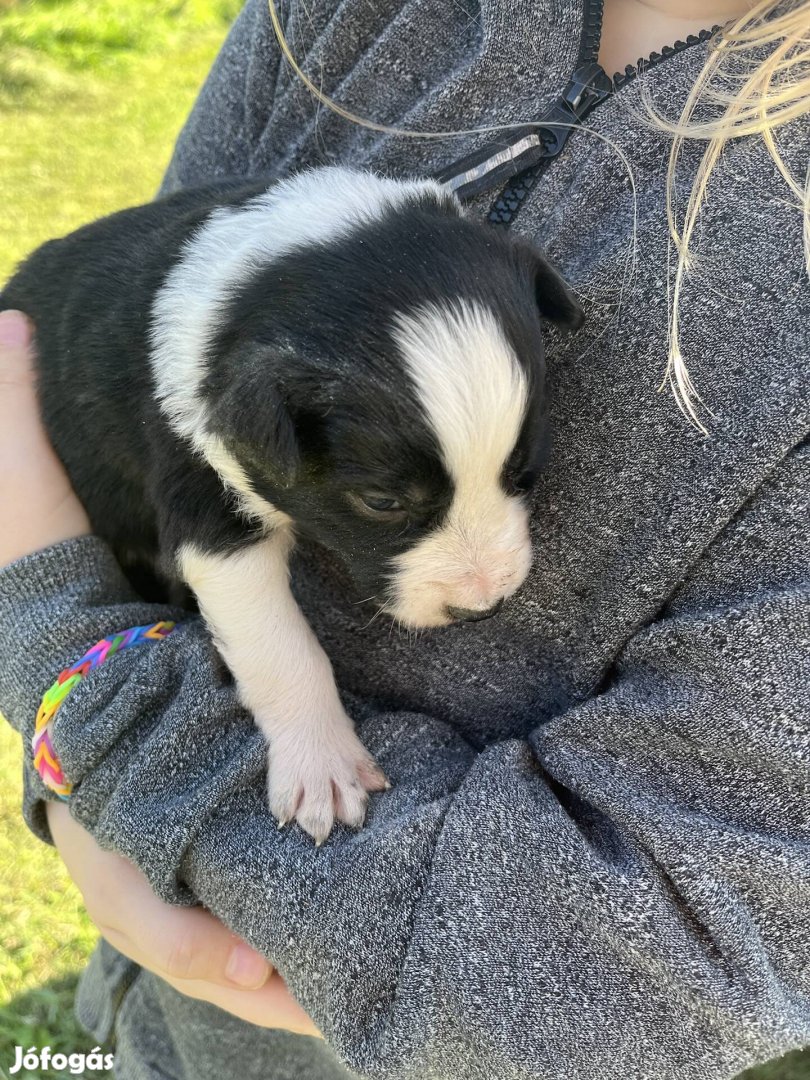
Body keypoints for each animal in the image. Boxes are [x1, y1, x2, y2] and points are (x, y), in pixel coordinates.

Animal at [0, 166, 583, 842]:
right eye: (381, 500)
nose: (481, 608)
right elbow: (280, 649)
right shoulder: (207, 503)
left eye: (526, 473)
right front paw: (322, 767)